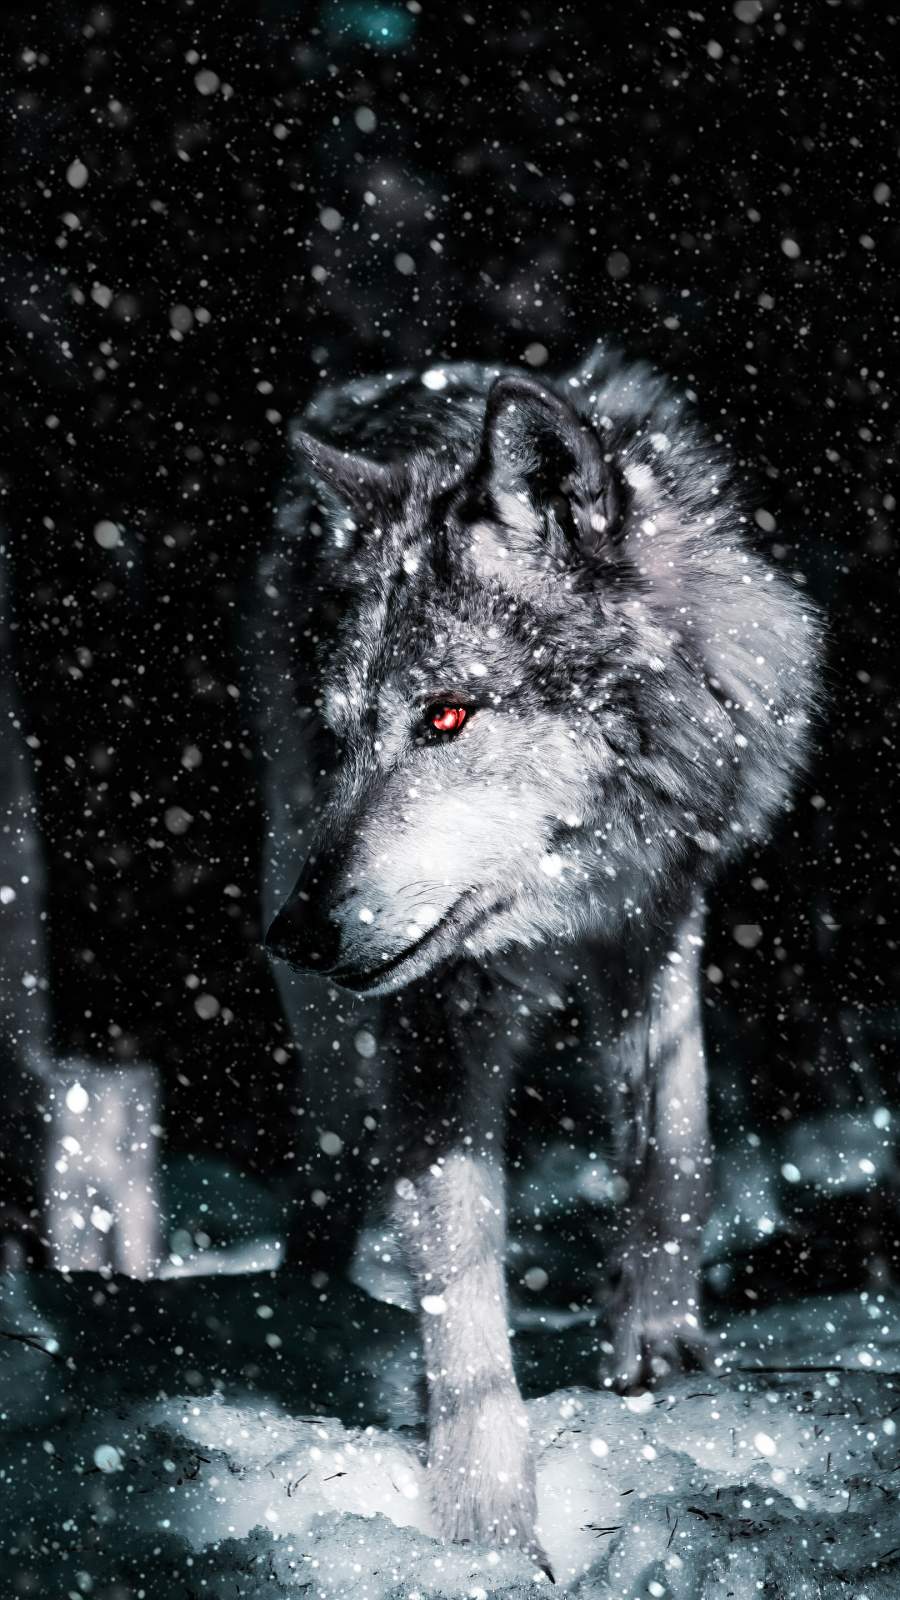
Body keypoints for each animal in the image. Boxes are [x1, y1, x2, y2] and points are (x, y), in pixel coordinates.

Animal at [251, 344, 820, 1566]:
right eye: (345, 734)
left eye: (447, 717)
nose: (297, 932)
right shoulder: (435, 1009)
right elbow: (459, 1272)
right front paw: (485, 1519)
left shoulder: (658, 914)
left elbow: (677, 1143)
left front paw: (655, 1337)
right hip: (310, 965)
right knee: (330, 1140)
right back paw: (302, 1297)